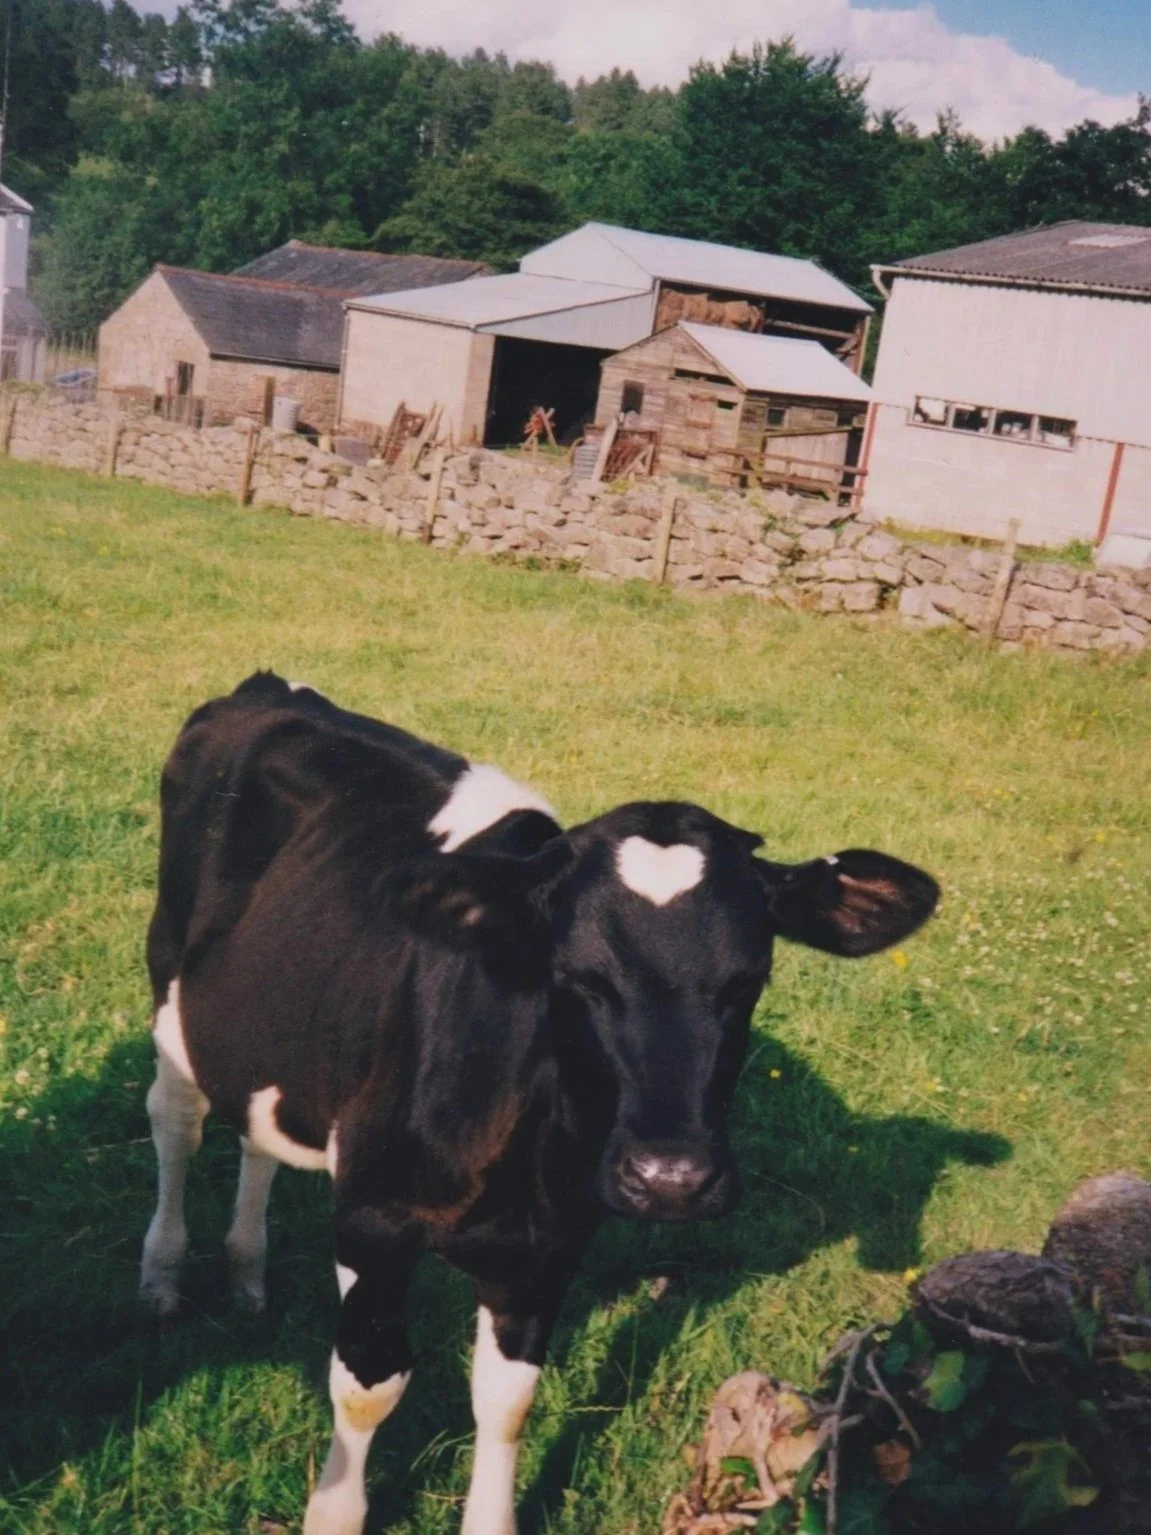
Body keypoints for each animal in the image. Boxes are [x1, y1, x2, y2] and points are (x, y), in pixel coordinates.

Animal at [139, 672, 939, 1535]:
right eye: (575, 973)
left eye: (748, 977)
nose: (670, 1178)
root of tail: (268, 687)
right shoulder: (374, 1215)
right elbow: (366, 1386)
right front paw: (335, 1513)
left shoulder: (548, 1240)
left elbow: (506, 1401)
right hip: (170, 989)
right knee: (176, 1120)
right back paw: (163, 1277)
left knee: (257, 1132)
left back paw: (246, 1274)